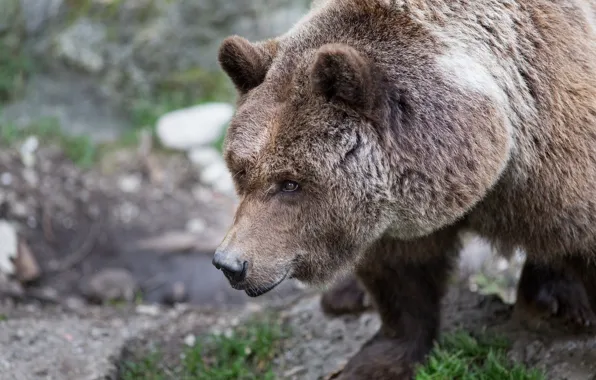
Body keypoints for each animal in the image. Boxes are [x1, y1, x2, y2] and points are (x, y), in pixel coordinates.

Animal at [212, 0, 596, 378]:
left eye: (290, 183)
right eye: (241, 170)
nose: (230, 264)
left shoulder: (553, 152)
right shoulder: (390, 213)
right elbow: (401, 274)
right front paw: (379, 359)